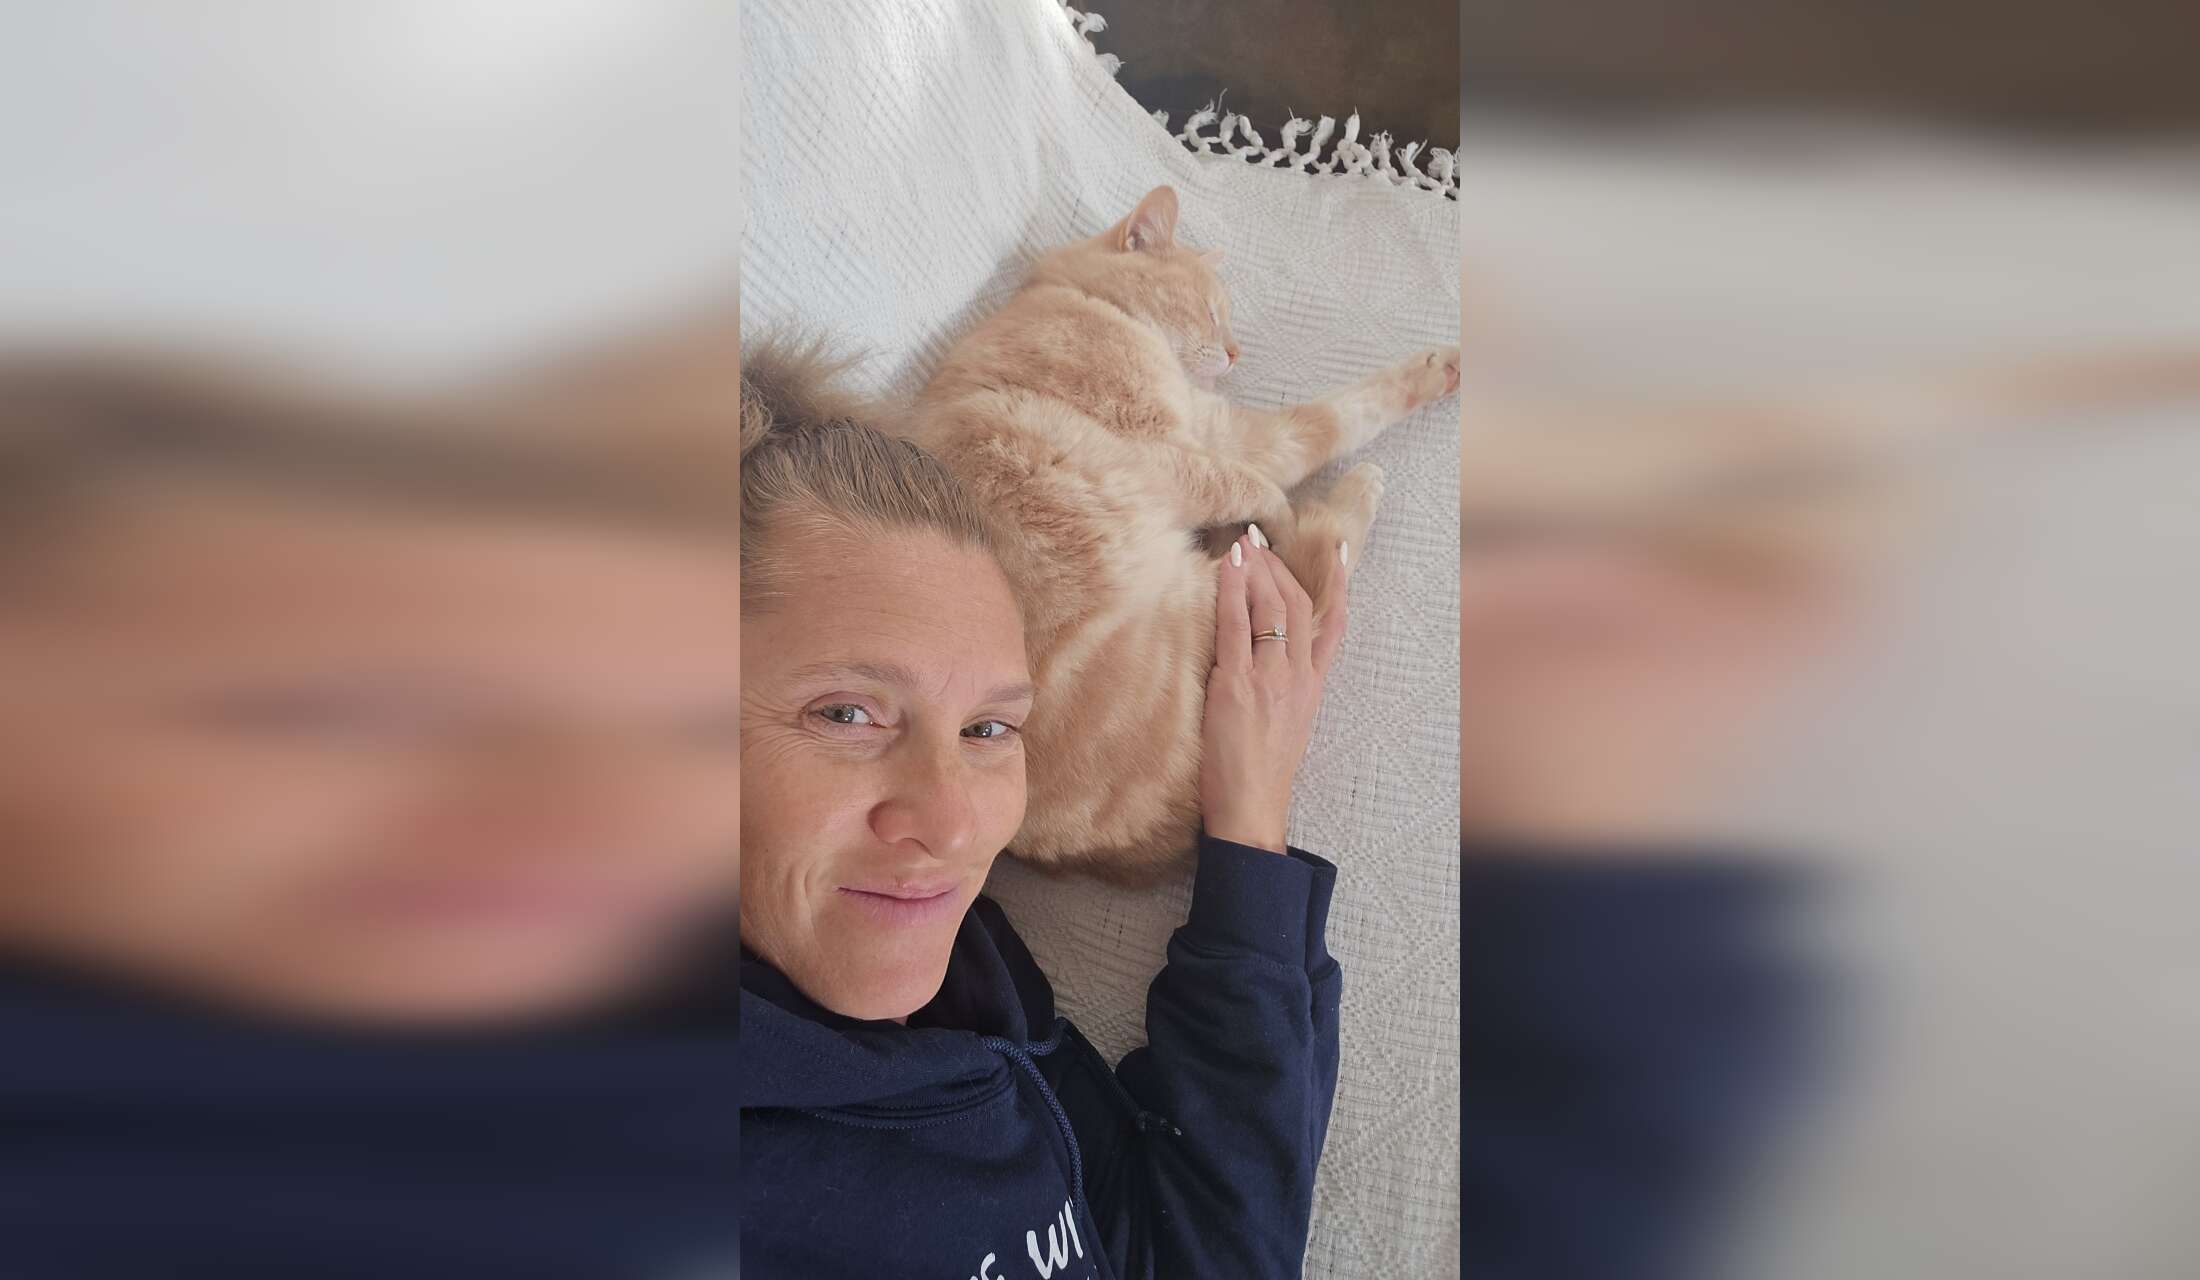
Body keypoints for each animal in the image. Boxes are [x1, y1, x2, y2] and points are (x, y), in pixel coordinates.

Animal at [892, 184, 1459, 884]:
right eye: (1213, 313)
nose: (1236, 353)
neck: (1085, 301)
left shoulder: (1212, 430)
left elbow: (1328, 421)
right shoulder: (1173, 450)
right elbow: (1287, 454)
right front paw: (1282, 506)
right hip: (1221, 604)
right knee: (1317, 582)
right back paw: (1349, 496)